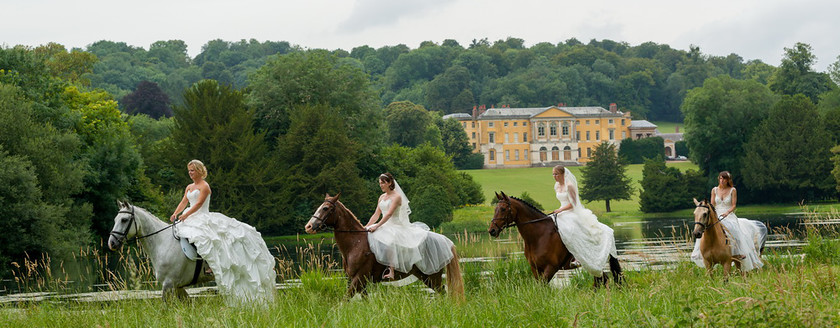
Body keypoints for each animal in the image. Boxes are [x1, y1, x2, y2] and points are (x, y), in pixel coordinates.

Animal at [302, 193, 462, 298]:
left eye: (325, 208)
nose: (308, 227)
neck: (355, 244)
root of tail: (445, 241)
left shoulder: (359, 278)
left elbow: (345, 299)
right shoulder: (357, 280)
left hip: (432, 276)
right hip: (425, 277)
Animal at [486, 192, 624, 288]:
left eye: (503, 209)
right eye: (495, 209)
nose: (492, 230)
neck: (539, 236)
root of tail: (608, 230)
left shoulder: (551, 268)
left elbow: (543, 287)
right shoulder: (535, 268)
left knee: (602, 279)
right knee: (602, 279)